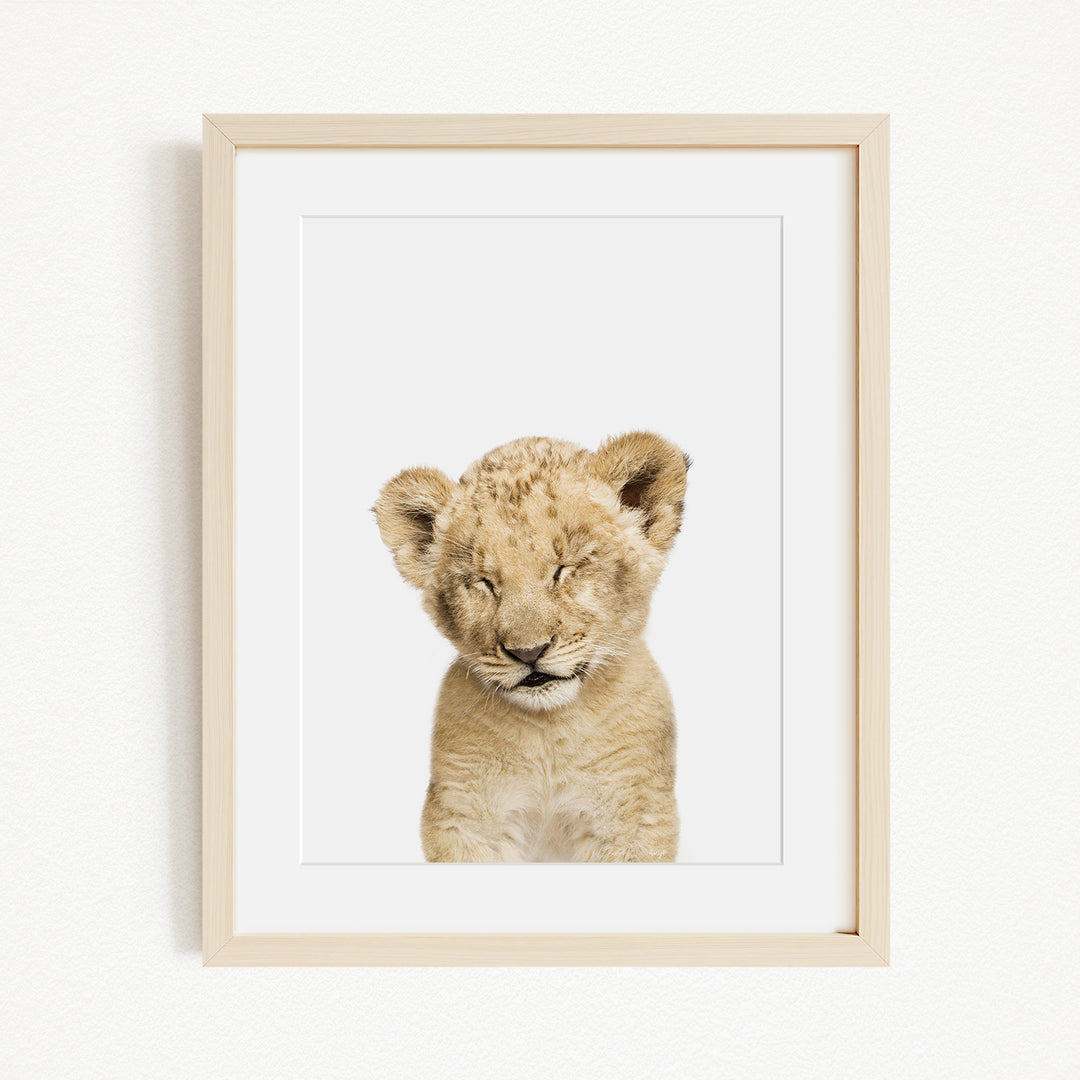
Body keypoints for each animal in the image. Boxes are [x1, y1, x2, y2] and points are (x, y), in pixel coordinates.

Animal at [374, 432, 688, 862]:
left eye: (564, 569)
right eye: (484, 582)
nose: (528, 652)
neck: (548, 732)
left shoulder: (634, 816)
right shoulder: (464, 816)